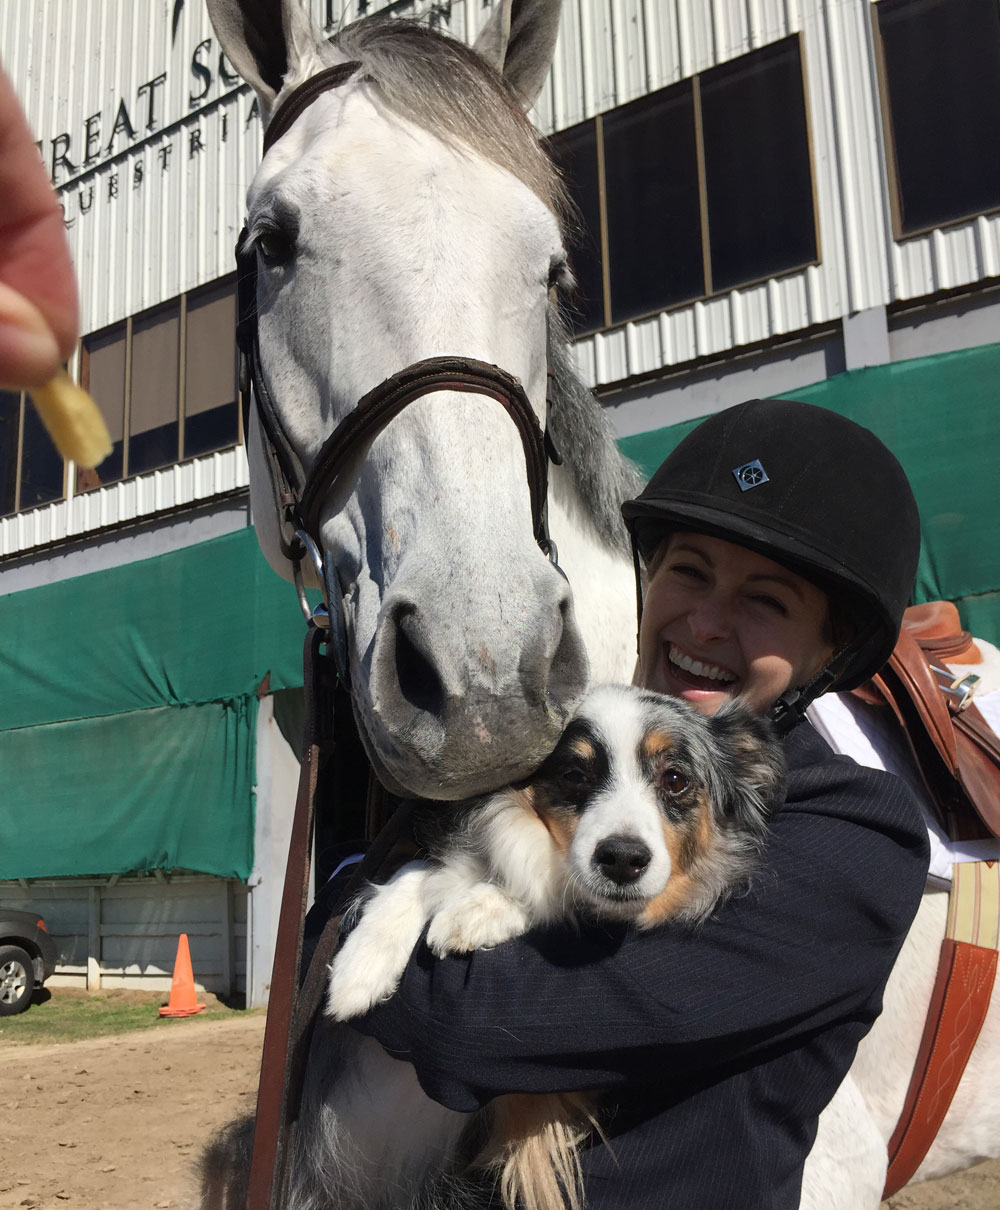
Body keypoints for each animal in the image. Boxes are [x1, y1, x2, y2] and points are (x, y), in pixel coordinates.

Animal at [198, 687, 784, 1210]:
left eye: (676, 779)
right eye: (574, 774)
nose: (621, 859)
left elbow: (541, 892)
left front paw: (479, 910)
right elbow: (418, 874)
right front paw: (357, 972)